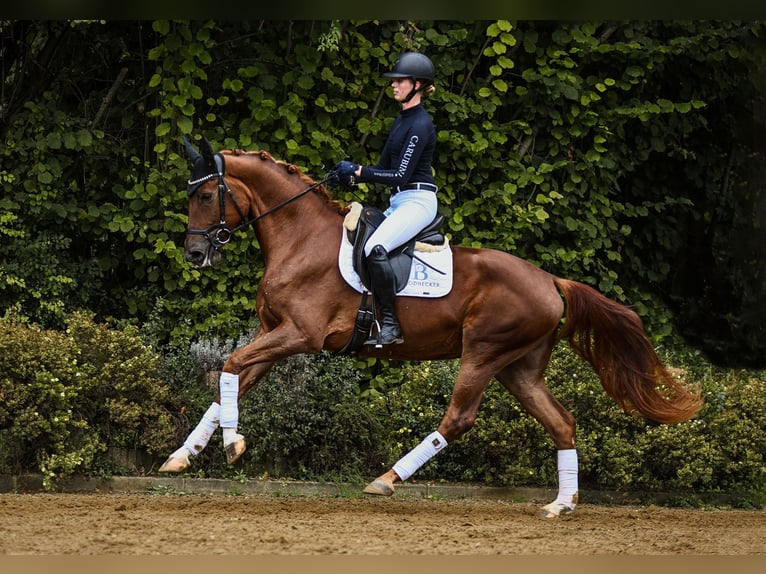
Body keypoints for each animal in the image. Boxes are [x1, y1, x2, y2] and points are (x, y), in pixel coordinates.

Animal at [159, 137, 704, 520]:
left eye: (205, 194)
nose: (195, 253)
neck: (300, 237)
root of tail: (550, 279)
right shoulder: (273, 335)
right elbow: (229, 381)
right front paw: (183, 456)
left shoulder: (299, 335)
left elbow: (229, 365)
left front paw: (232, 446)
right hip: (519, 368)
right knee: (561, 422)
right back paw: (561, 504)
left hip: (483, 352)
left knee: (459, 418)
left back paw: (387, 478)